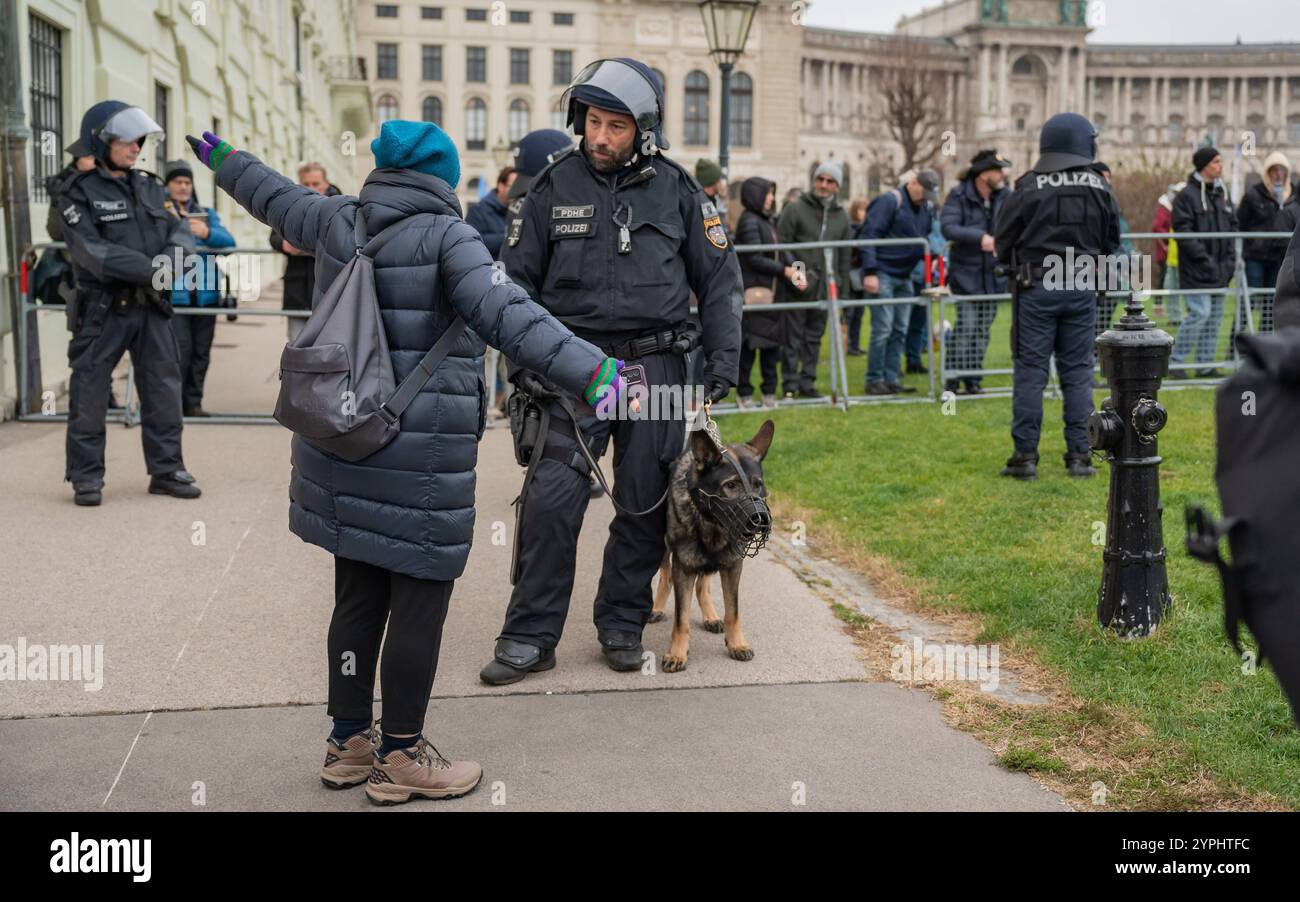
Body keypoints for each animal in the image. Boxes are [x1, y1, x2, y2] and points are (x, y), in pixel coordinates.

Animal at [650, 418, 769, 670]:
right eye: (731, 485)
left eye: (757, 485)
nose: (759, 518)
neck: (711, 526)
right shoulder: (684, 569)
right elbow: (681, 619)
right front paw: (677, 653)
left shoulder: (732, 567)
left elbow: (733, 612)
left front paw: (737, 644)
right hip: (664, 547)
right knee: (666, 576)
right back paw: (657, 607)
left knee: (702, 584)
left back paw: (711, 616)